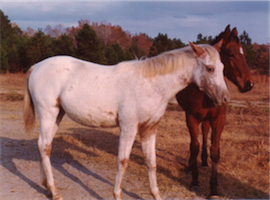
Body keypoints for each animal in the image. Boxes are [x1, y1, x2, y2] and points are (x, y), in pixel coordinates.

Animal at [24, 40, 229, 200]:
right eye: (210, 68)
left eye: (222, 68)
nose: (225, 99)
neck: (151, 84)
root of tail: (36, 67)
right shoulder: (129, 127)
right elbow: (123, 161)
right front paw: (117, 194)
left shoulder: (149, 129)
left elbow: (151, 162)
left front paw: (156, 194)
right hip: (48, 114)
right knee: (45, 147)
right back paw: (55, 192)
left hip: (57, 116)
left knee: (43, 145)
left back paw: (47, 187)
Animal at [176, 24, 254, 197]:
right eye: (231, 54)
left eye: (244, 54)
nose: (249, 84)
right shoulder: (191, 117)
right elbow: (194, 146)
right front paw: (195, 181)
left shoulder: (219, 119)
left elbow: (215, 151)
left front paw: (214, 189)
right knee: (195, 141)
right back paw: (191, 165)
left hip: (207, 119)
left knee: (205, 133)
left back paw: (204, 162)